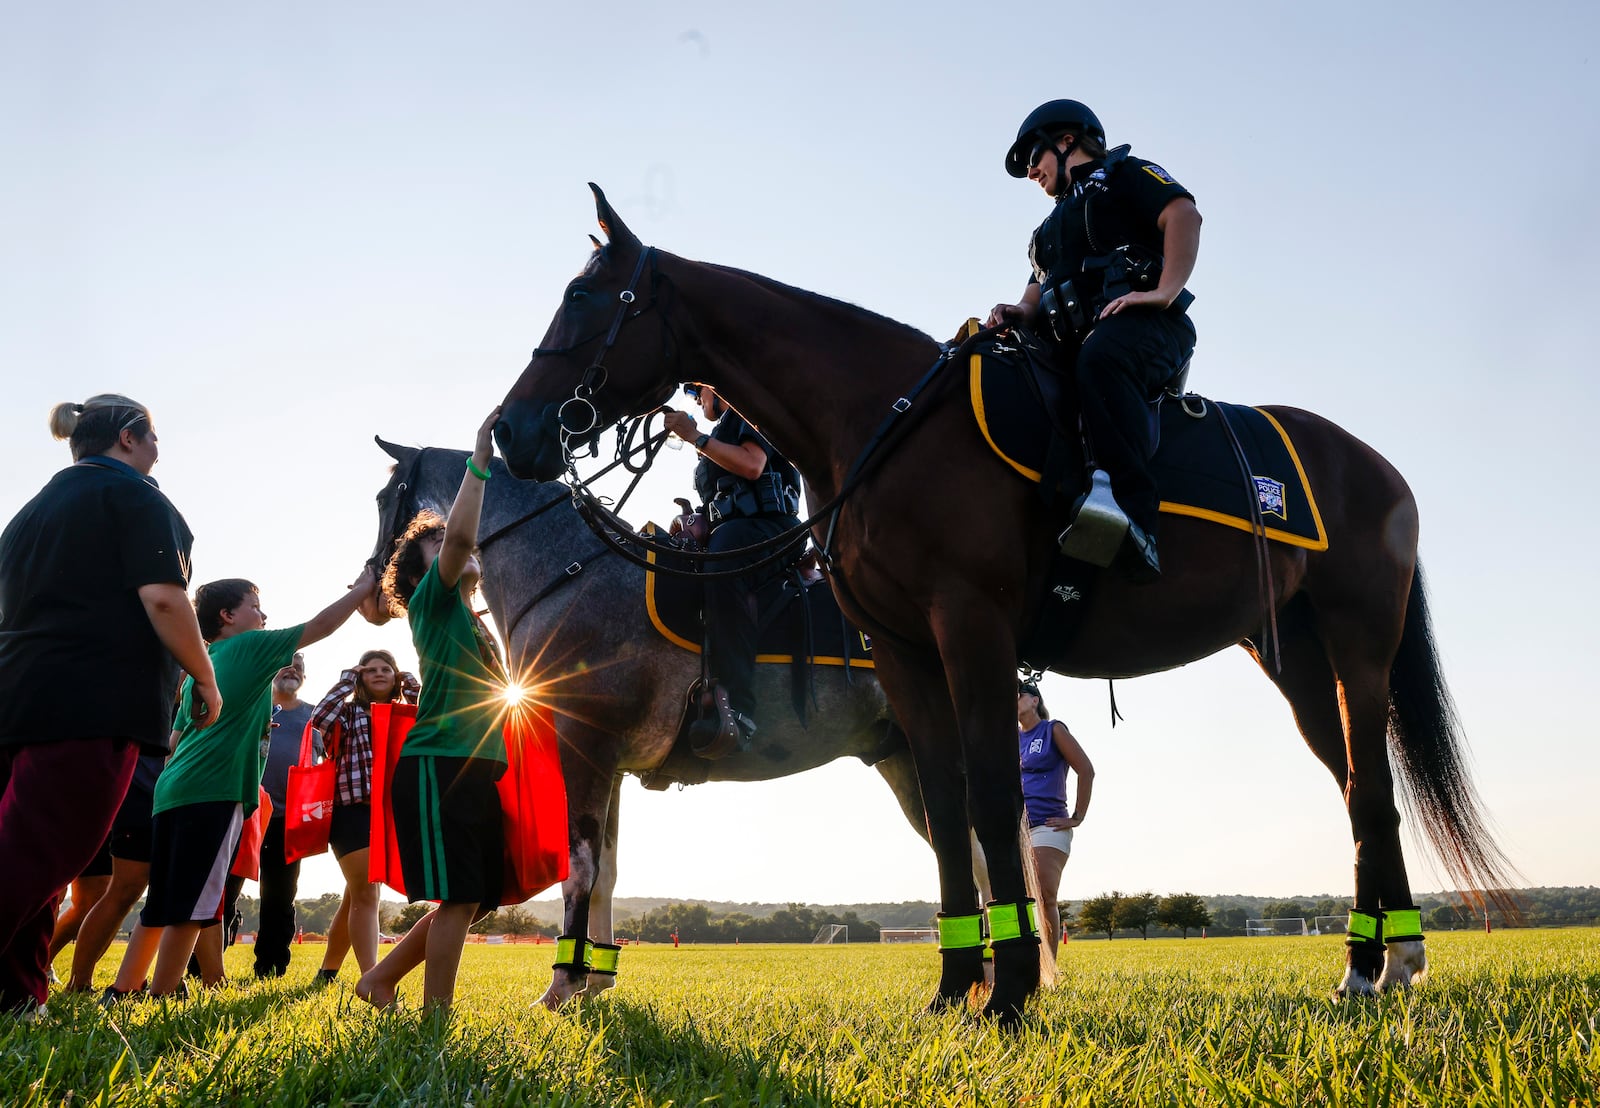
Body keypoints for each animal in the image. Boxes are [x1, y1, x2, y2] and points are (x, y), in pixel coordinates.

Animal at [371, 438, 928, 1005]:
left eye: (382, 498)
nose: (376, 589)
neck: (568, 569)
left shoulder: (584, 747)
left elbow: (580, 868)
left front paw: (563, 984)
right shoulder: (610, 764)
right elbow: (607, 873)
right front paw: (594, 980)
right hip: (902, 760)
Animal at [492, 185, 1516, 1024]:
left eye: (584, 298)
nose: (510, 431)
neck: (884, 424)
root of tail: (1374, 464)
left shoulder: (971, 628)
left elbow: (992, 802)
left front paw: (1013, 990)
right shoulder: (905, 652)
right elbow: (952, 814)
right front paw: (956, 988)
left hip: (1359, 647)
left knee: (1371, 788)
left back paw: (1383, 964)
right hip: (1298, 662)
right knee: (1359, 789)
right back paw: (1377, 964)